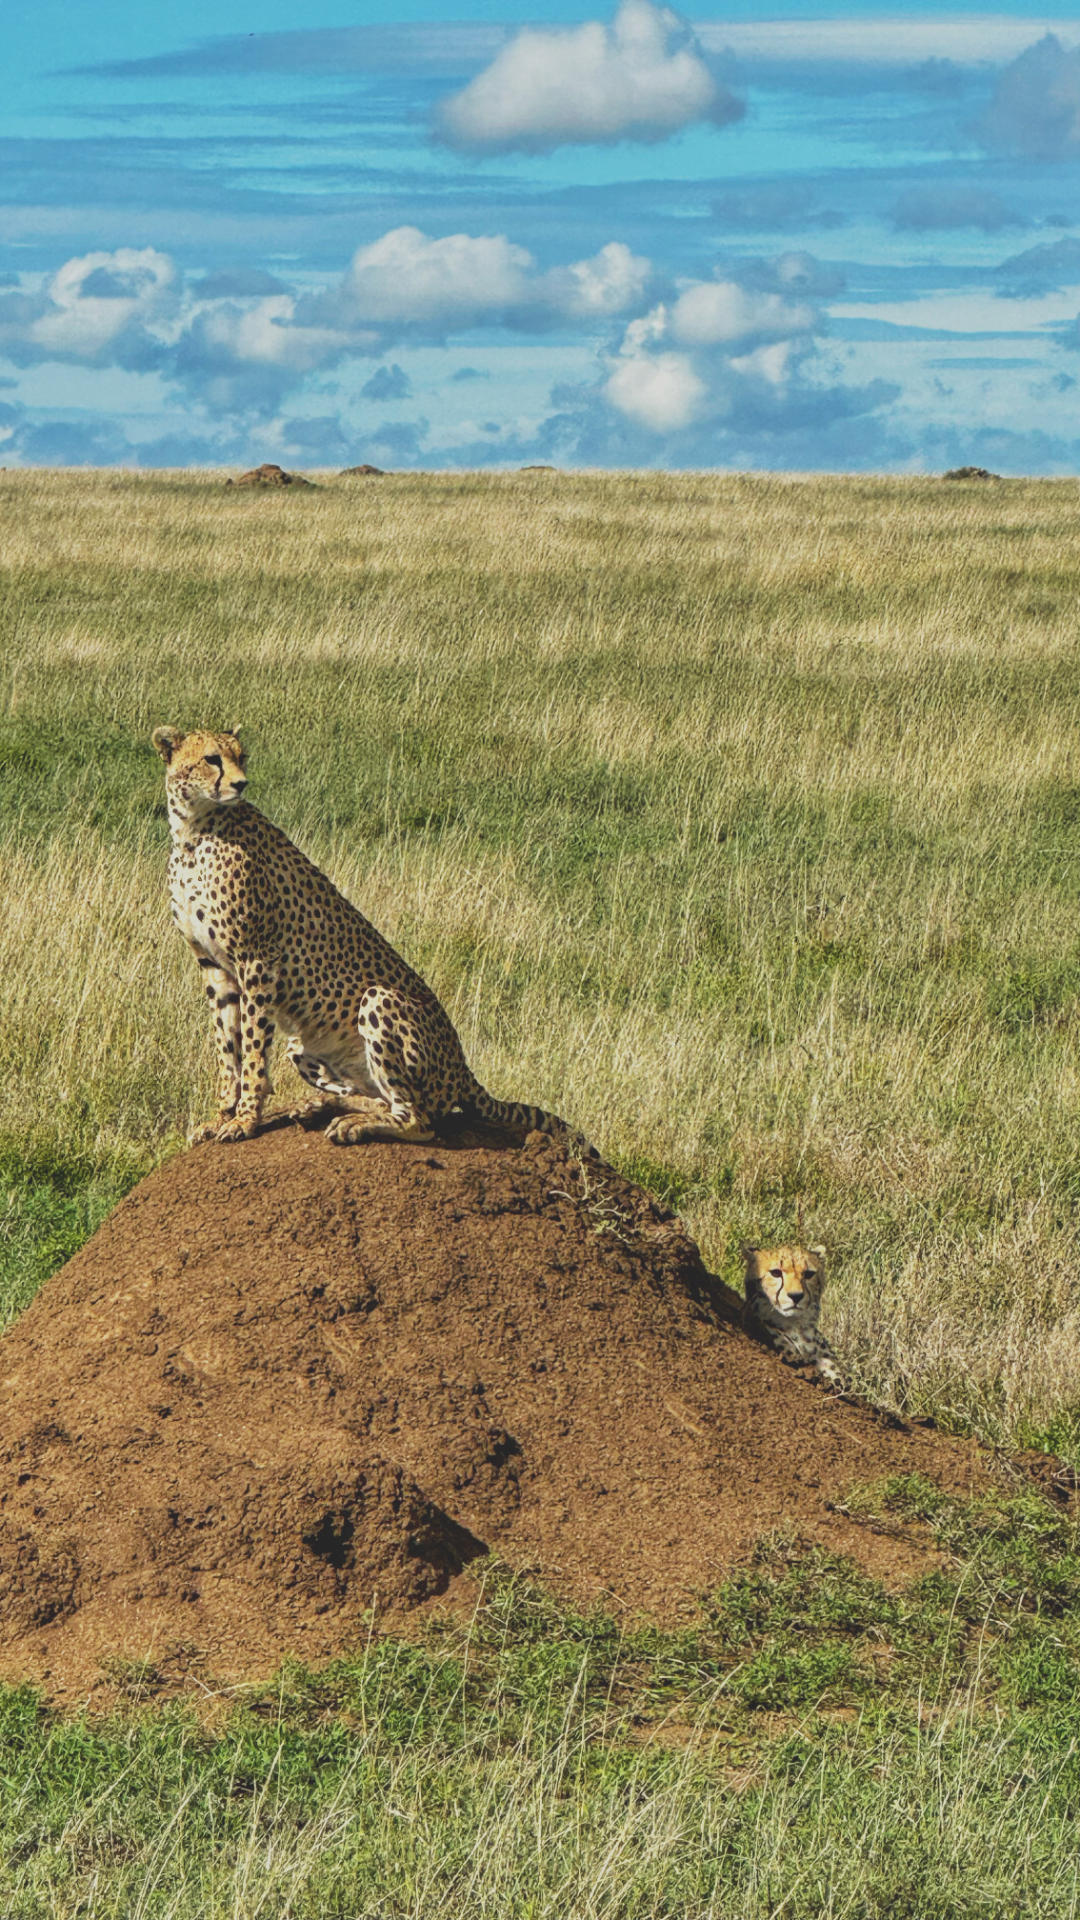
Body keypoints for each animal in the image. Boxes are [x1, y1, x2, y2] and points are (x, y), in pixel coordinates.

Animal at [152, 726, 593, 1153]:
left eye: (241, 757)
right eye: (211, 759)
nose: (241, 783)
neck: (194, 831)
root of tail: (463, 1068)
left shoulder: (258, 961)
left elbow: (254, 1052)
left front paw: (245, 1119)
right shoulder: (215, 967)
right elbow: (227, 1047)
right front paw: (222, 1115)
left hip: (379, 1001)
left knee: (419, 1120)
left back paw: (353, 1125)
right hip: (302, 1044)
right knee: (384, 1100)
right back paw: (319, 1106)